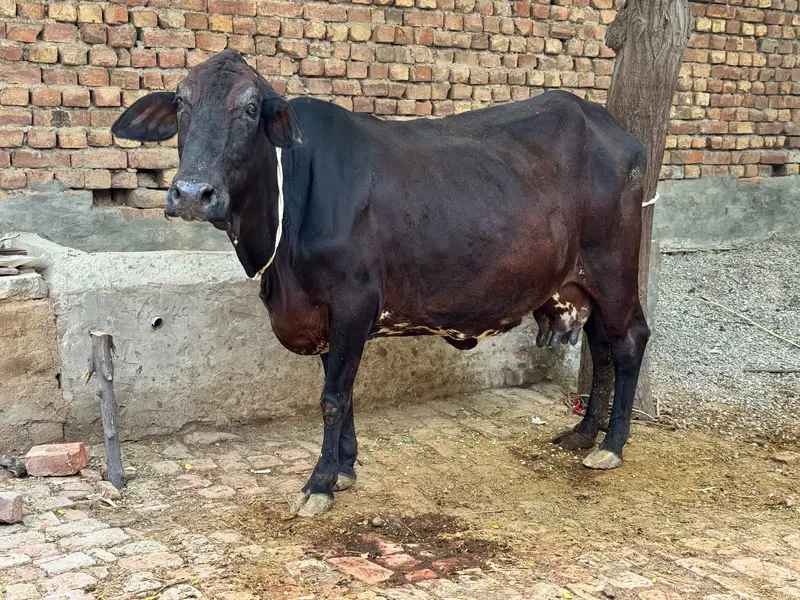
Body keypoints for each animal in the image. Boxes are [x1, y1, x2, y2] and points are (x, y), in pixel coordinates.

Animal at [112, 49, 650, 517]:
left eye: (249, 108)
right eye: (181, 102)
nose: (191, 193)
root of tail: (611, 126)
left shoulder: (354, 300)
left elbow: (332, 399)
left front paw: (319, 484)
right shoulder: (323, 314)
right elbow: (342, 392)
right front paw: (344, 469)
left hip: (614, 269)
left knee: (628, 342)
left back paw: (611, 445)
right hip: (578, 285)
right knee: (600, 348)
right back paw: (582, 433)